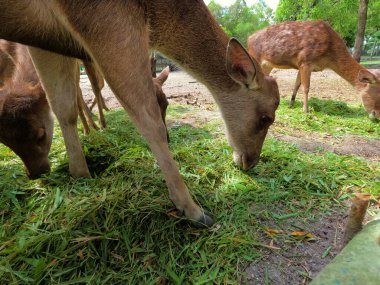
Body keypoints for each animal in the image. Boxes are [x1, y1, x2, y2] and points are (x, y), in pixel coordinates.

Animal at [0, 0, 280, 226]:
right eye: (266, 117)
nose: (251, 161)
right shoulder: (104, 19)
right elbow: (148, 119)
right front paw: (193, 210)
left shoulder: (44, 42)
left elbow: (63, 107)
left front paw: (81, 174)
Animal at [248, 20, 378, 117]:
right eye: (378, 94)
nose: (376, 116)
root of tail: (248, 39)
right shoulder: (305, 60)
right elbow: (306, 87)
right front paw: (306, 110)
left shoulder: (300, 65)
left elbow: (297, 84)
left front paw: (291, 104)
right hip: (255, 57)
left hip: (267, 65)